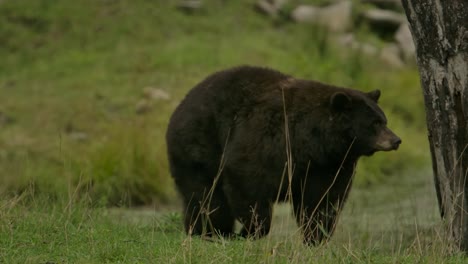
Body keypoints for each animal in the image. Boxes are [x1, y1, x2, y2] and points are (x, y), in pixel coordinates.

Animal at [166, 66, 400, 245]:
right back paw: (211, 231)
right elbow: (246, 180)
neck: (313, 142)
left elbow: (322, 200)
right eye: (375, 123)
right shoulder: (268, 140)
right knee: (207, 198)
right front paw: (251, 231)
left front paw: (316, 237)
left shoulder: (328, 166)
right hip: (199, 147)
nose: (396, 140)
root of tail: (180, 106)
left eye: (383, 120)